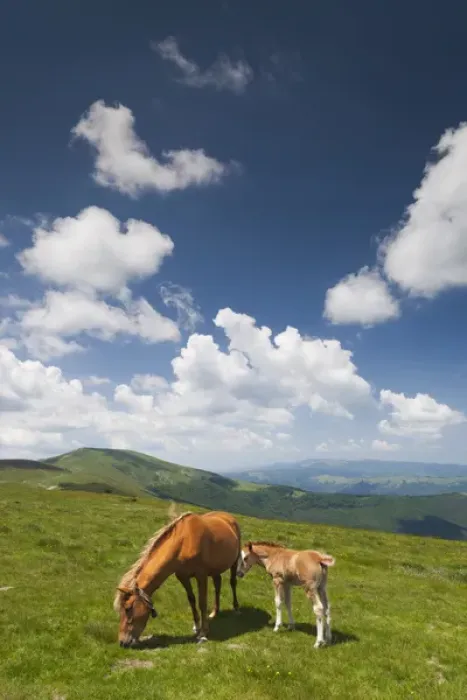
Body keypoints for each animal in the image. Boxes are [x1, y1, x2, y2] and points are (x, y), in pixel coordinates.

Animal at [114, 510, 242, 647]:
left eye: (128, 609)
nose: (122, 642)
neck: (184, 542)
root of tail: (228, 516)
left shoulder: (201, 575)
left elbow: (202, 602)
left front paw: (203, 633)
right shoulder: (182, 576)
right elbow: (191, 599)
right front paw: (197, 626)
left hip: (234, 561)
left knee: (233, 582)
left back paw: (236, 608)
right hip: (215, 569)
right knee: (218, 584)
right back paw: (214, 612)